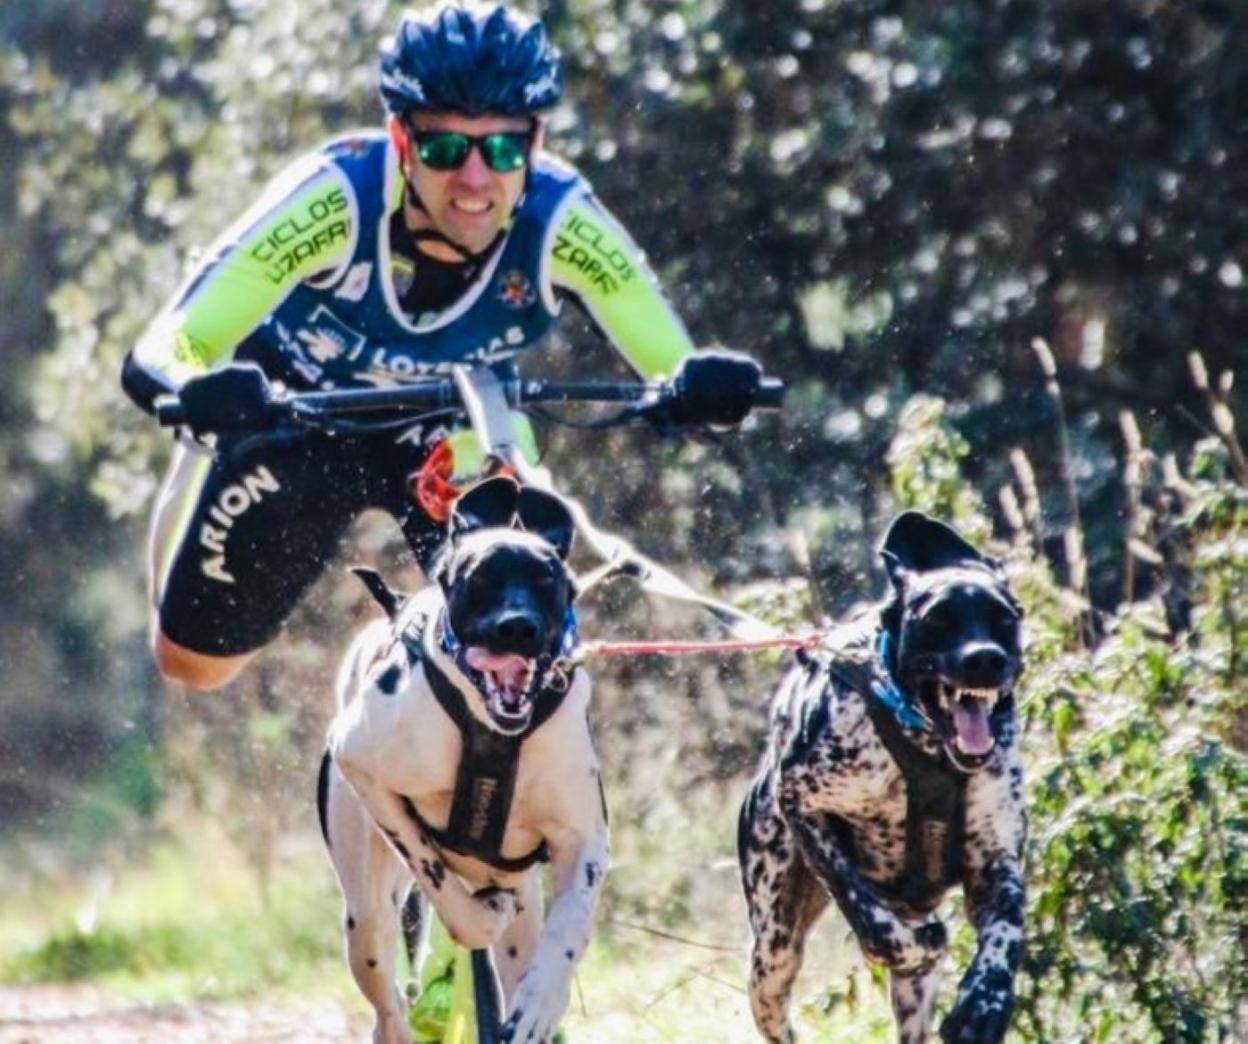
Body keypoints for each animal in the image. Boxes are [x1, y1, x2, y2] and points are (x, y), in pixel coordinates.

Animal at [319, 473, 606, 1042]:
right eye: (479, 577)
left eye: (546, 578)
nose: (517, 627)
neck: (493, 730)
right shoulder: (362, 763)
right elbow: (446, 890)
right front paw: (482, 914)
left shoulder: (583, 840)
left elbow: (567, 931)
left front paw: (541, 1002)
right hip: (367, 921)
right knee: (390, 1007)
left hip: (520, 903)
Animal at [738, 513, 1023, 1042]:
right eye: (937, 620)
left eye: (1006, 617)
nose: (986, 659)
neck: (924, 747)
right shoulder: (802, 805)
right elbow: (868, 914)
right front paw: (916, 941)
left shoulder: (996, 862)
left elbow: (1007, 931)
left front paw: (984, 1002)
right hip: (772, 951)